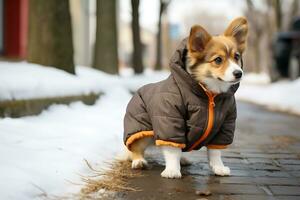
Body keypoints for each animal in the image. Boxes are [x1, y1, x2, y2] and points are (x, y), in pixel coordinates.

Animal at [123, 17, 247, 179]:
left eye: (236, 57)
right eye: (218, 60)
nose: (239, 73)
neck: (209, 94)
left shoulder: (225, 124)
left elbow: (215, 152)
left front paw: (218, 168)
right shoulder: (171, 122)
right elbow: (171, 150)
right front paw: (172, 171)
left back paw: (183, 159)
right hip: (141, 131)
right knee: (136, 149)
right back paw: (139, 161)